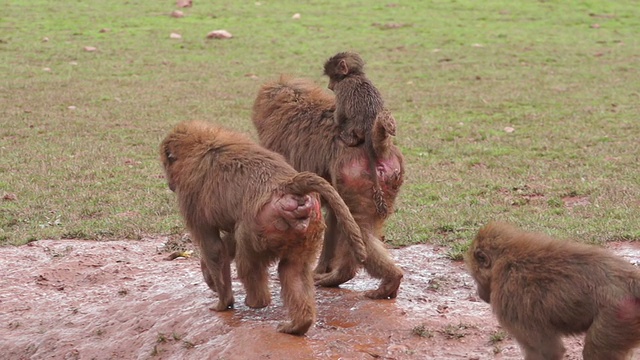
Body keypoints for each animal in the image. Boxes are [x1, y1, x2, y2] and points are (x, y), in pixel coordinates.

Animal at [324, 52, 396, 218]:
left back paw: (346, 138)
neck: (353, 75)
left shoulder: (342, 88)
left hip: (354, 129)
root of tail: (369, 128)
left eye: (333, 76)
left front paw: (332, 114)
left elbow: (339, 116)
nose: (329, 86)